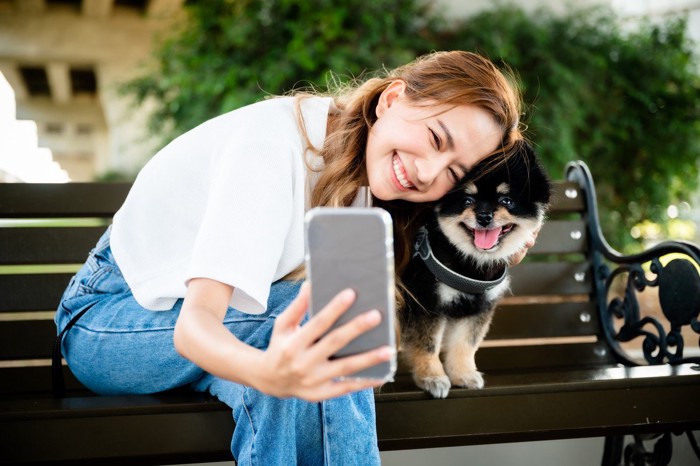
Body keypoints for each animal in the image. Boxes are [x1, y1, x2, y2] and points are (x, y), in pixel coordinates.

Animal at [396, 142, 548, 396]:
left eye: (506, 201)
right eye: (467, 201)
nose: (484, 216)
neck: (472, 267)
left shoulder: (478, 308)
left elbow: (465, 345)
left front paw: (463, 374)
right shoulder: (426, 301)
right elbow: (427, 345)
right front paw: (432, 377)